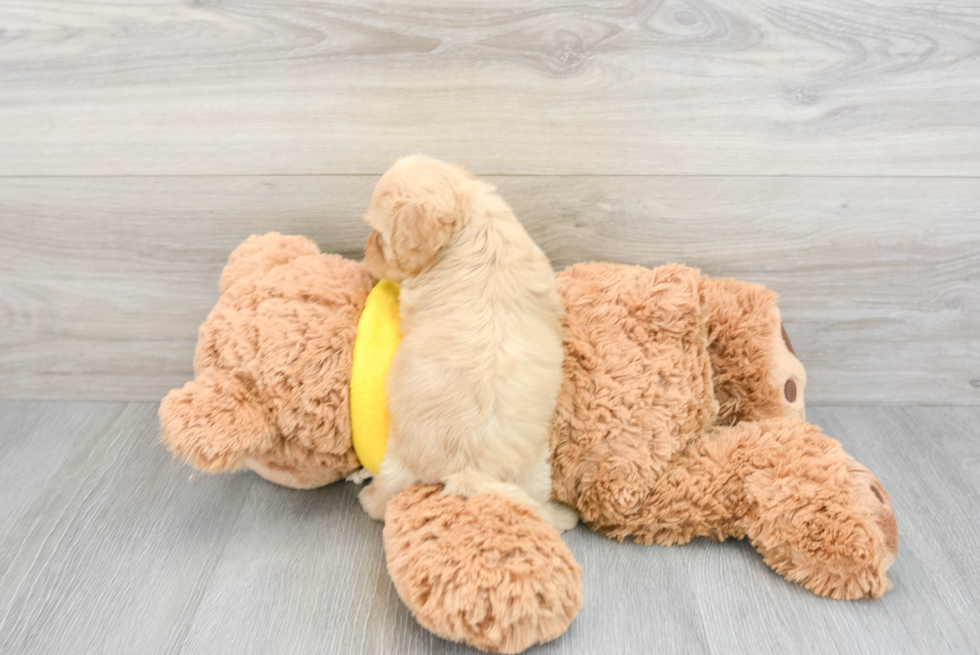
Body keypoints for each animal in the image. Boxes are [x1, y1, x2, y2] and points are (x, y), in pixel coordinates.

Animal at [360, 155, 580, 532]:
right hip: (535, 470)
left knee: (383, 500)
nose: (364, 252)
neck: (469, 224)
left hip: (397, 460)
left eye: (381, 236)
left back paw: (366, 497)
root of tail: (468, 471)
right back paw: (561, 516)